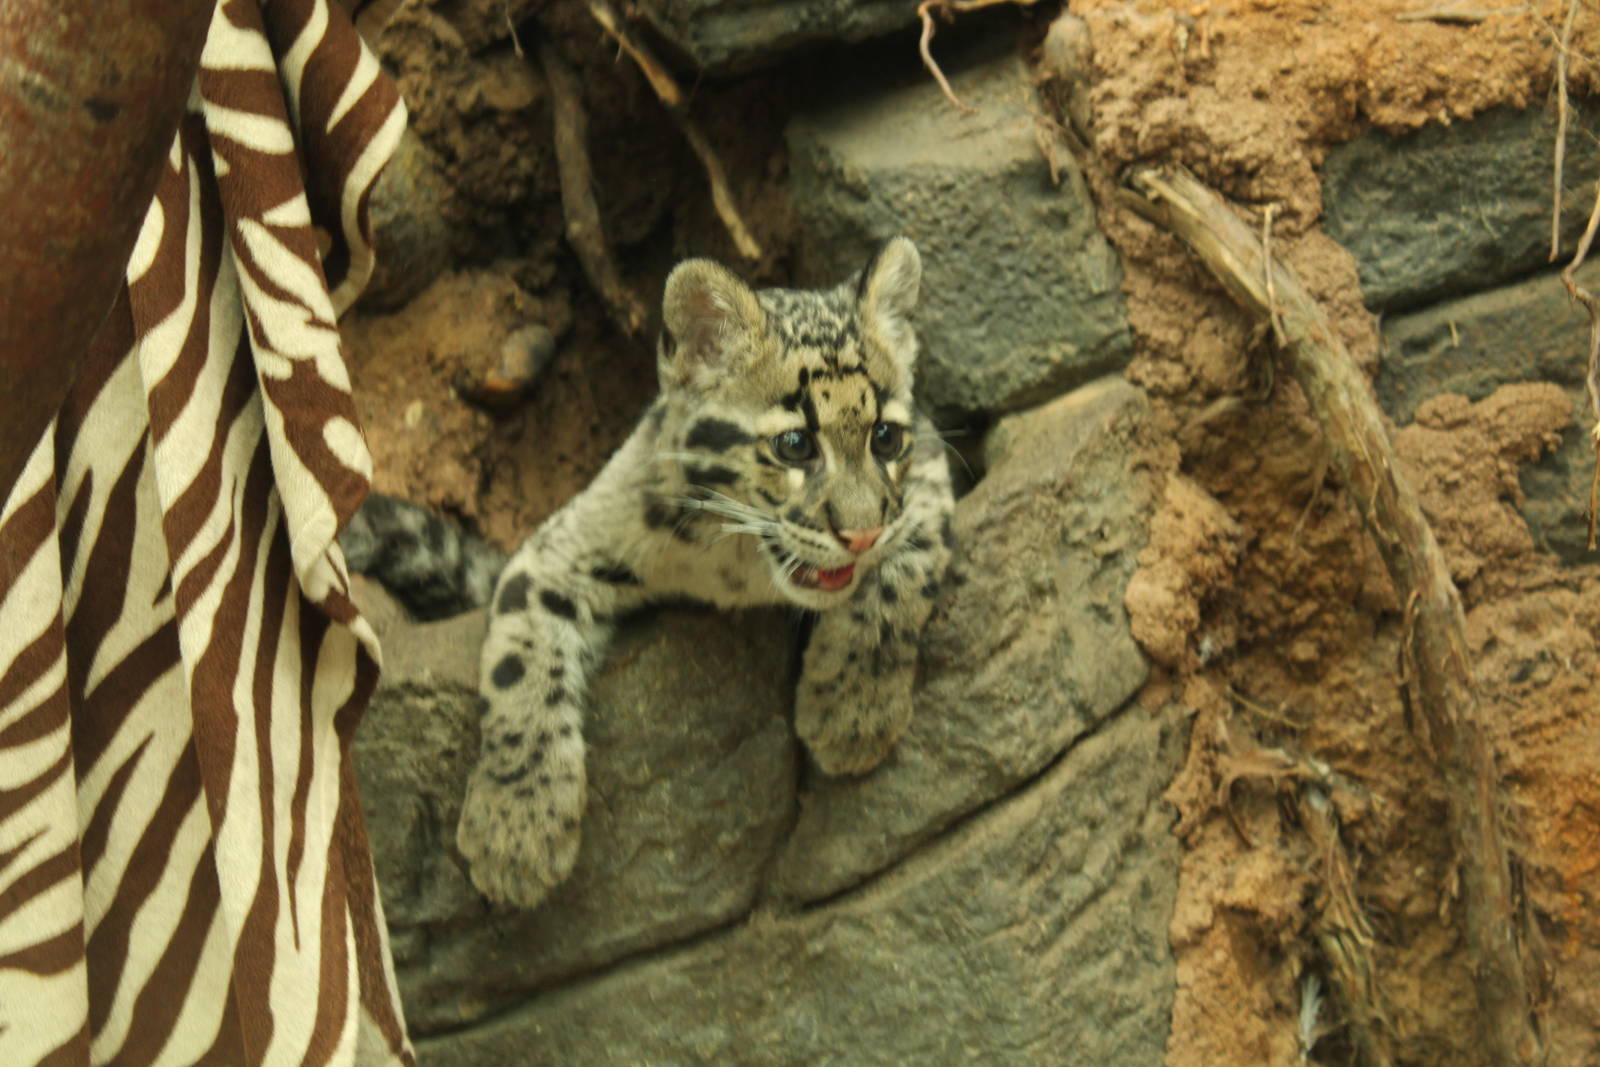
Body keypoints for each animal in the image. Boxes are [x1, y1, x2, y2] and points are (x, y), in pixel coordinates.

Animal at [427, 237, 954, 909]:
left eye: (885, 437)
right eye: (794, 445)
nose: (860, 536)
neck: (740, 564)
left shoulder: (925, 477)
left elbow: (902, 576)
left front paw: (851, 710)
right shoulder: (560, 548)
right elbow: (519, 663)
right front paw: (516, 829)